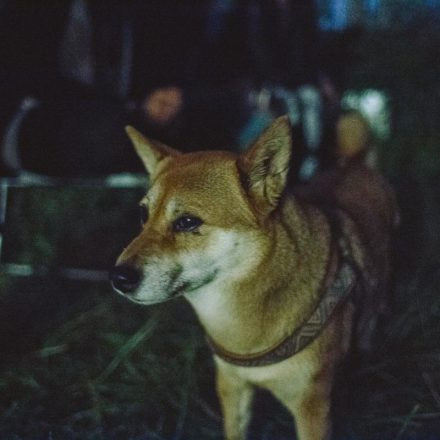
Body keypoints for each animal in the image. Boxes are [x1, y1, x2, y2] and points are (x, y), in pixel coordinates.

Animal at [111, 117, 398, 440]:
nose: (118, 277)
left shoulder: (311, 406)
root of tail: (355, 164)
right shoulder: (232, 386)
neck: (240, 329)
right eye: (143, 214)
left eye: (187, 222)